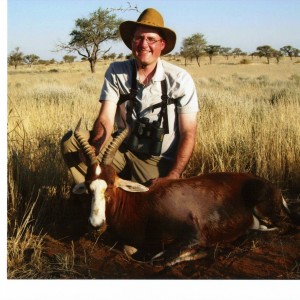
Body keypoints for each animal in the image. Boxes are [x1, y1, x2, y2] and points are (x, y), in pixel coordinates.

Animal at [72, 120, 292, 264]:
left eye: (111, 185)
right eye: (88, 186)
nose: (96, 224)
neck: (142, 203)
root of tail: (271, 186)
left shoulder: (194, 235)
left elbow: (160, 258)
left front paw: (203, 252)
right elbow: (130, 250)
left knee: (281, 227)